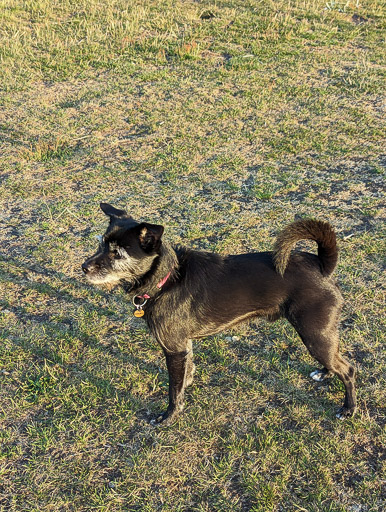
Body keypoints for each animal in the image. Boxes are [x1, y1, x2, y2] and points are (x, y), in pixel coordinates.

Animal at [83, 203, 358, 424]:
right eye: (101, 244)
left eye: (118, 254)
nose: (84, 267)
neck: (167, 278)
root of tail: (322, 265)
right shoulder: (183, 345)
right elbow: (187, 370)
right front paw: (187, 384)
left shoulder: (173, 349)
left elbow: (173, 390)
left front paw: (169, 416)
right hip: (320, 336)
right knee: (335, 359)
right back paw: (324, 373)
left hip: (314, 334)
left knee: (348, 369)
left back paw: (348, 408)